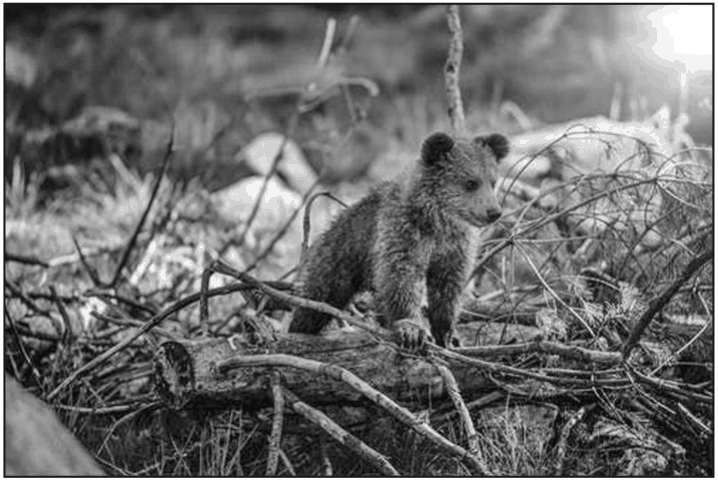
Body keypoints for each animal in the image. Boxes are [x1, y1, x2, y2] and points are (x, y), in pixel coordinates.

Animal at [289, 131, 510, 349]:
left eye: (493, 181)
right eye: (471, 182)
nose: (494, 212)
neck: (437, 220)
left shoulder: (453, 248)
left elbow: (447, 288)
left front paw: (448, 334)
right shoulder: (403, 234)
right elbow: (401, 279)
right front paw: (412, 329)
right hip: (339, 257)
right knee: (316, 302)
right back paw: (299, 329)